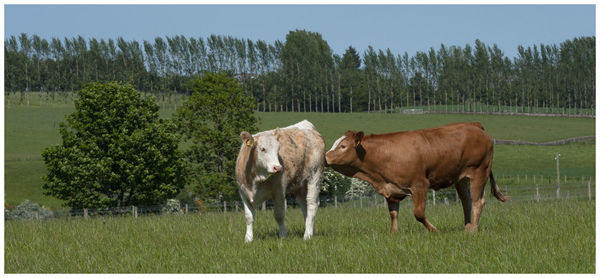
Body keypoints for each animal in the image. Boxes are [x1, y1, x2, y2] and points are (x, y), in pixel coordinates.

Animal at [326, 121, 508, 232]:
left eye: (343, 146)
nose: (326, 157)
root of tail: (474, 125)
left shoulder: (419, 185)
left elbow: (419, 214)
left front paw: (435, 230)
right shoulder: (391, 189)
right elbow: (393, 213)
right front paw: (393, 233)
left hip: (480, 171)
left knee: (478, 201)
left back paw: (473, 229)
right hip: (461, 178)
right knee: (467, 201)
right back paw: (467, 227)